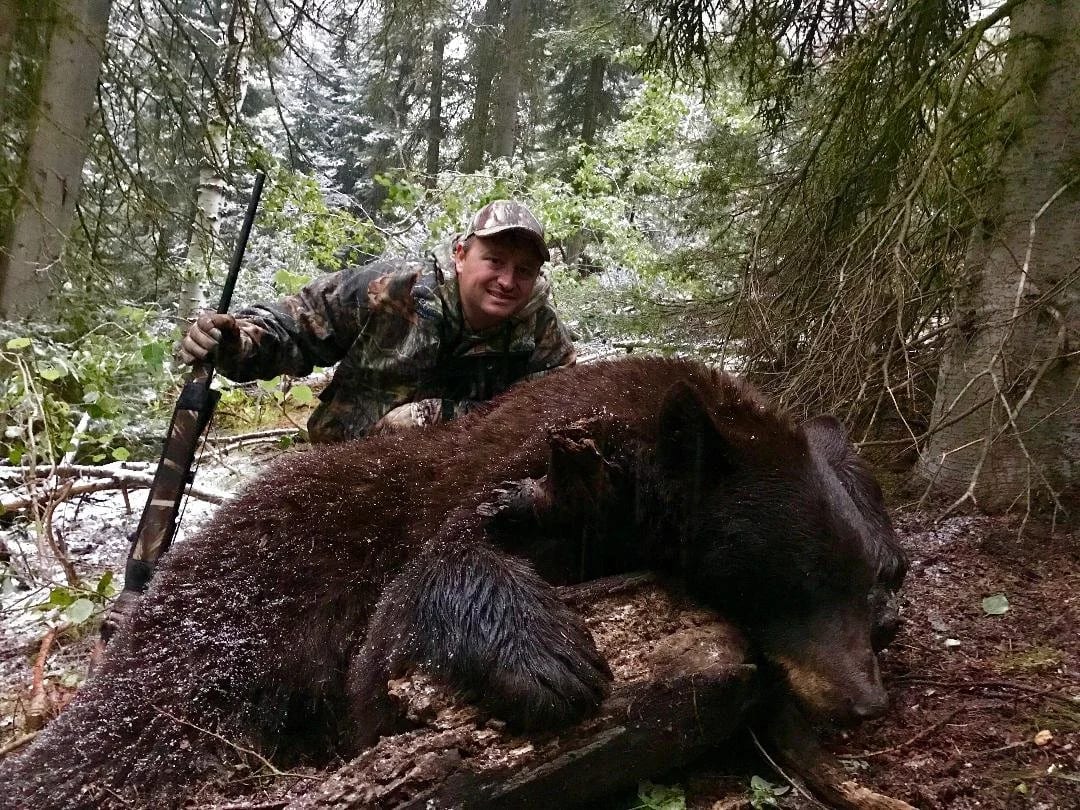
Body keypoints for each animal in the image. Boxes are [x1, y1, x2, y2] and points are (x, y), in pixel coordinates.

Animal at [0, 356, 907, 809]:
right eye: (795, 579)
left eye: (861, 580)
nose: (864, 701)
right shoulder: (503, 479)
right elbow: (384, 655)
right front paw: (549, 659)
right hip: (258, 573)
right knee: (159, 708)